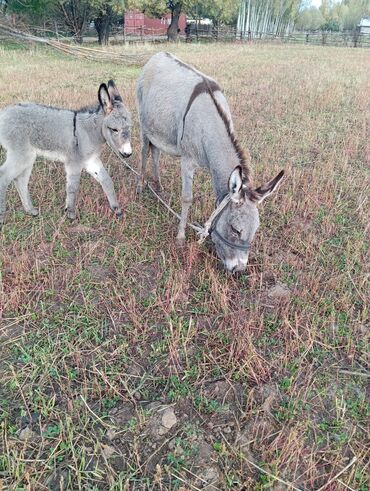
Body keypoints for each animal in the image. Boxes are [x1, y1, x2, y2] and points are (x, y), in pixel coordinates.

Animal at [0, 80, 132, 227]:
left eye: (129, 127)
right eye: (114, 129)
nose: (128, 153)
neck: (88, 132)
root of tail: (4, 112)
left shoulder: (91, 160)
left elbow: (107, 181)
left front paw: (117, 210)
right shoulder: (74, 162)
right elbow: (73, 186)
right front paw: (71, 214)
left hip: (28, 156)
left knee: (20, 180)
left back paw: (31, 211)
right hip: (20, 154)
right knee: (4, 176)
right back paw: (2, 217)